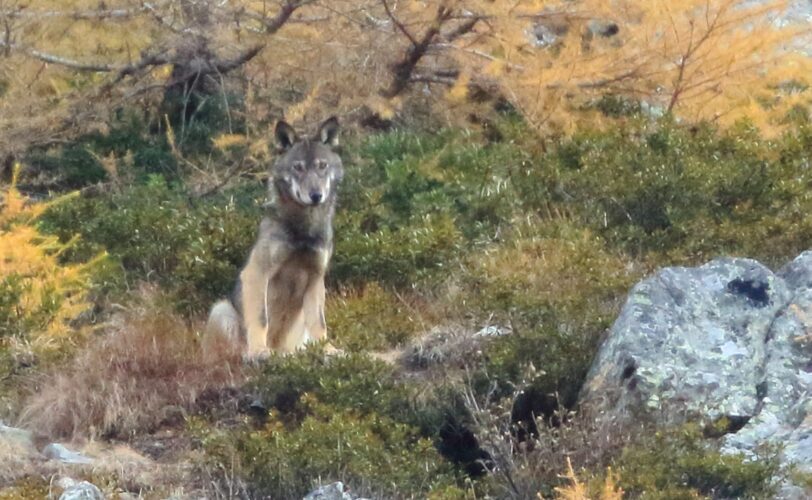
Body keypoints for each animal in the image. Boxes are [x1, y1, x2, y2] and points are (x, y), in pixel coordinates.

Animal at [205, 117, 343, 357]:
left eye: (322, 166)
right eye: (298, 168)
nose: (316, 195)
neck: (303, 230)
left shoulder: (316, 279)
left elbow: (319, 323)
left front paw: (329, 350)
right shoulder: (257, 273)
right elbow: (261, 318)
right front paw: (259, 350)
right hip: (221, 309)